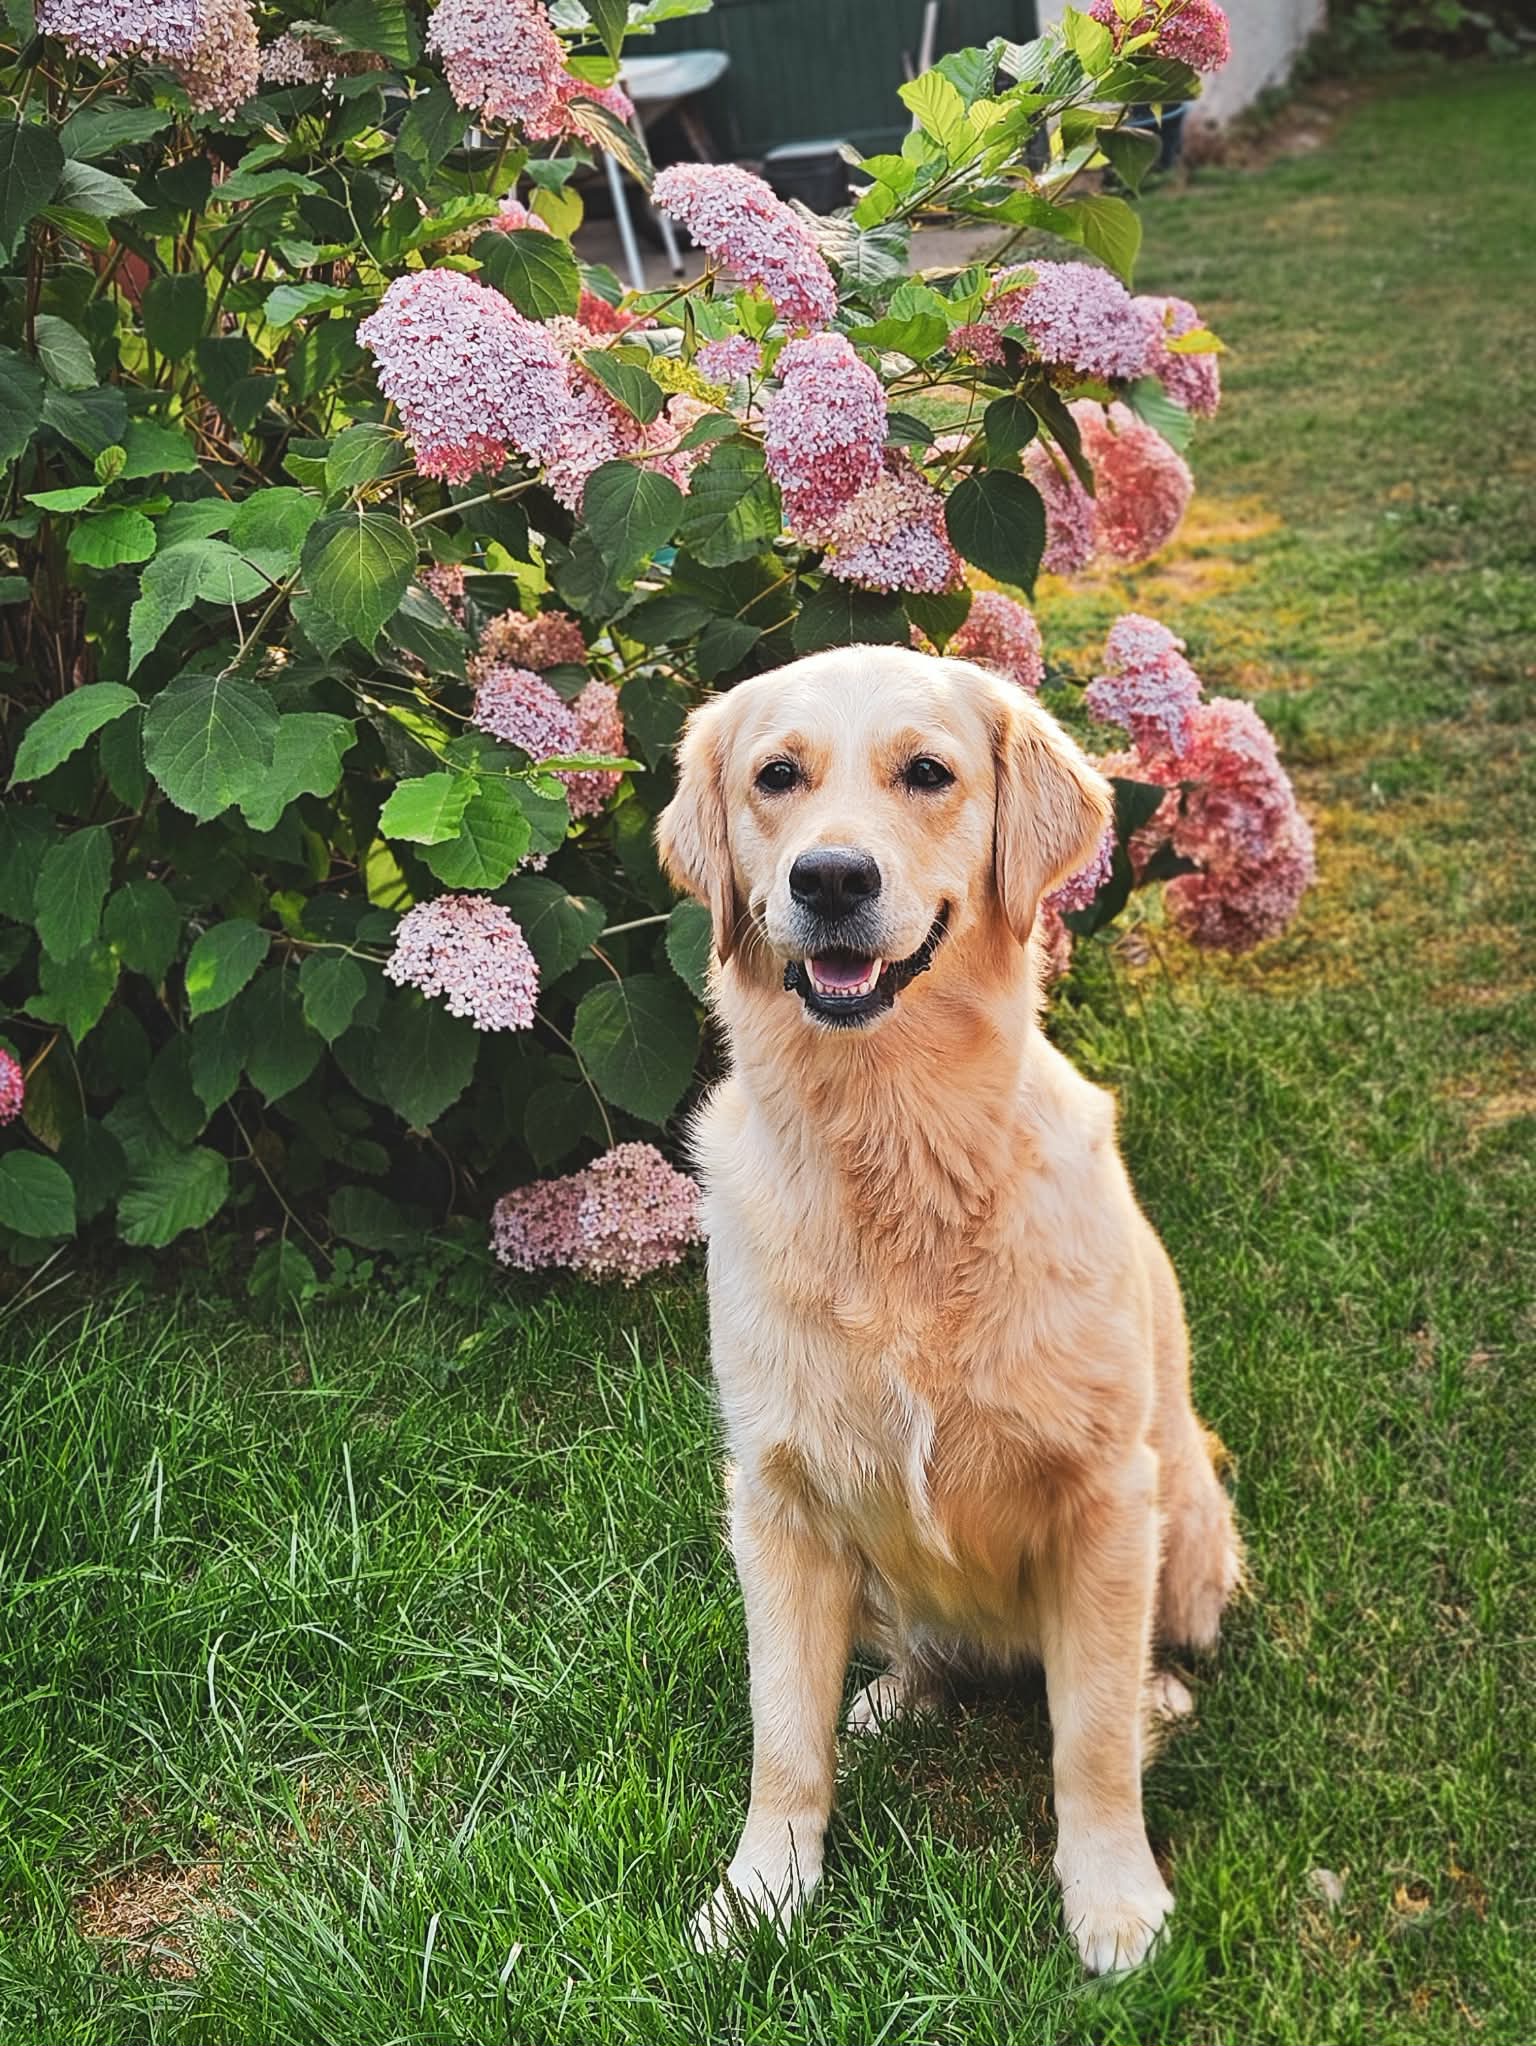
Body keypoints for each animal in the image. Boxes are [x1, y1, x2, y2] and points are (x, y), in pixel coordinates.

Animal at [656, 645, 1241, 1974]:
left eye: (928, 773)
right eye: (777, 776)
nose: (829, 878)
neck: (897, 1156)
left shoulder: (1103, 1495)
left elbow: (1088, 1740)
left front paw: (1112, 1899)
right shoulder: (775, 1497)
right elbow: (782, 1737)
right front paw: (760, 1891)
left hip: (1186, 1525)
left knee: (1126, 1669)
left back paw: (1157, 1697)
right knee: (915, 1656)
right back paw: (888, 1701)